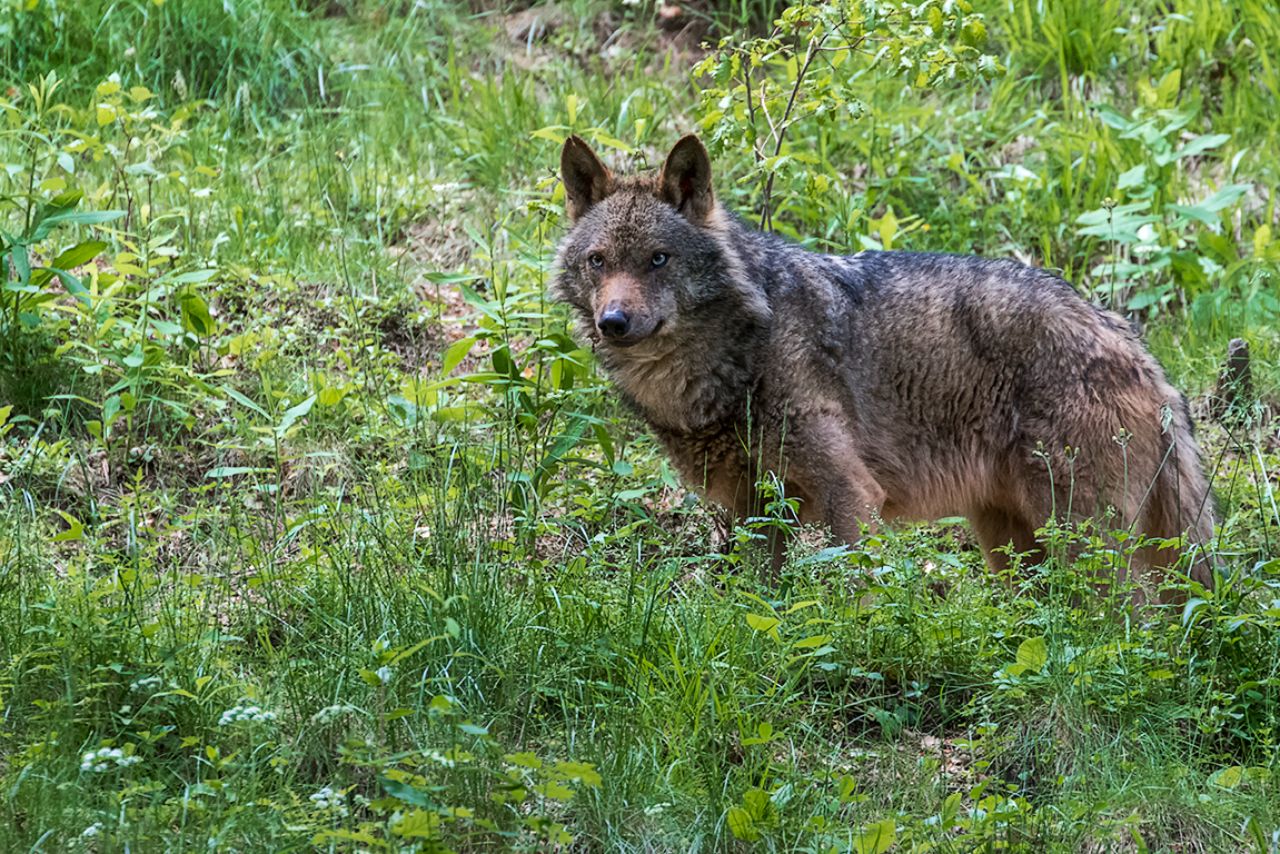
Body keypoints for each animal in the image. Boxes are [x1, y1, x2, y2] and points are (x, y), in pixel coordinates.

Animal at [552, 134, 1215, 595]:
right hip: (1011, 542)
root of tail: (1137, 347)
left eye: (659, 259)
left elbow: (853, 589)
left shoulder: (849, 492)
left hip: (1079, 539)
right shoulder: (751, 508)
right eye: (598, 261)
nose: (614, 321)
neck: (739, 353)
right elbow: (760, 600)